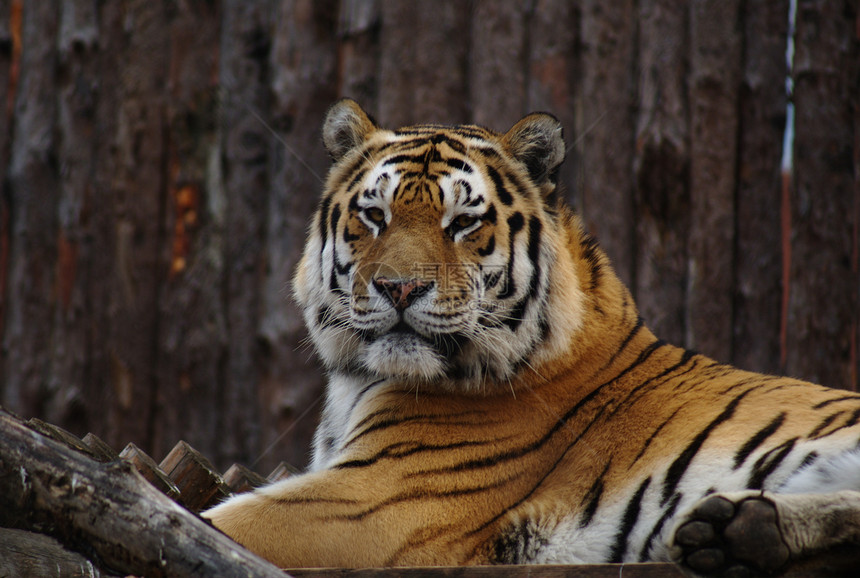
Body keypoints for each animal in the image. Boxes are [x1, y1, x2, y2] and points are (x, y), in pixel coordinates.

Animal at [205, 100, 860, 576]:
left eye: (463, 222)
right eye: (375, 216)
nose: (399, 288)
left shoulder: (372, 500)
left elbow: (223, 521)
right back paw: (741, 532)